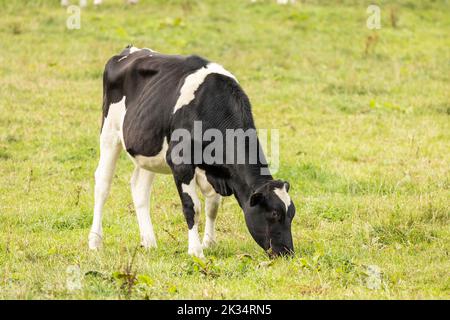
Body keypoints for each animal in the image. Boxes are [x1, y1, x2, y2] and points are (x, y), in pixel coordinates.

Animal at [90, 45, 298, 258]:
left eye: (292, 214)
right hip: (109, 133)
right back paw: (95, 242)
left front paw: (209, 243)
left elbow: (212, 206)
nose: (287, 252)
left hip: (148, 149)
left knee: (139, 188)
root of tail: (131, 50)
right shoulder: (180, 162)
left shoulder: (212, 170)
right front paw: (196, 251)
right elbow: (193, 207)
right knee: (103, 184)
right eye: (274, 214)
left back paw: (149, 242)